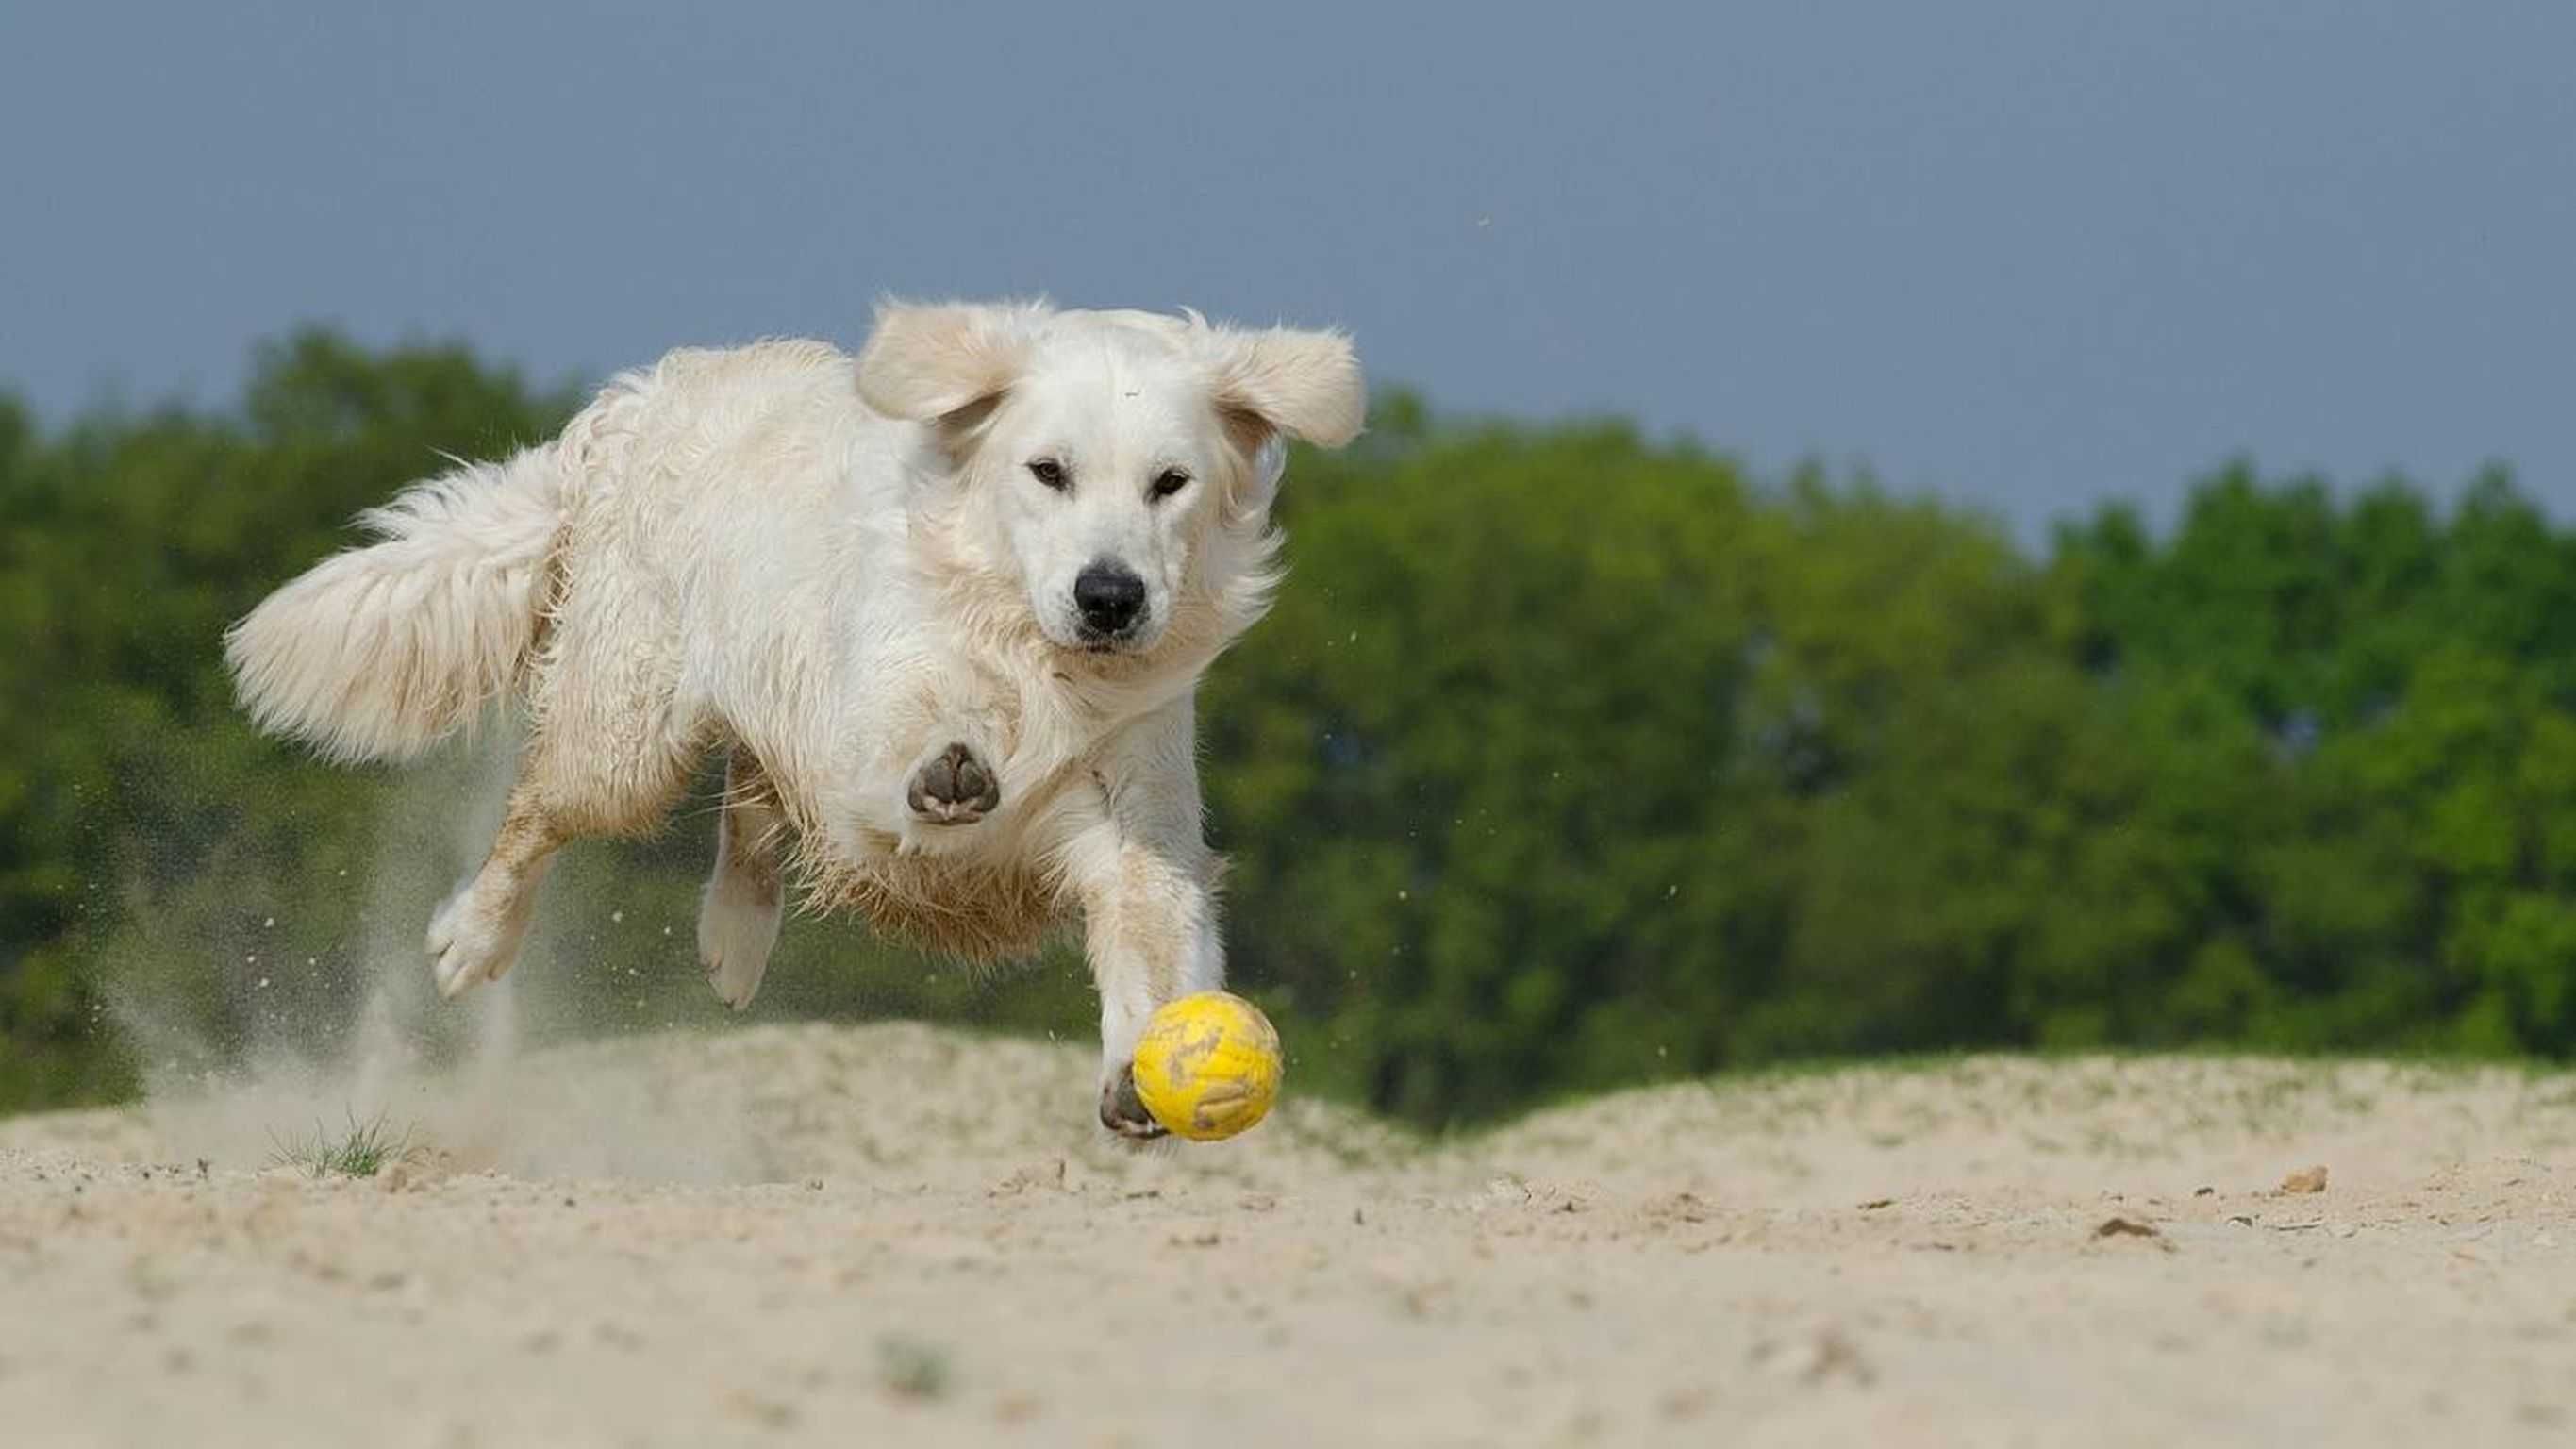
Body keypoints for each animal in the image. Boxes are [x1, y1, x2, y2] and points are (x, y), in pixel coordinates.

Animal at [223, 301, 1364, 1136]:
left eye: (1171, 483)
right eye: (1049, 471)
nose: (1111, 597)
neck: (1029, 658)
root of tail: (639, 403)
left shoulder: (1138, 823)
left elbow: (1156, 942)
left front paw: (1144, 1070)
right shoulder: (861, 752)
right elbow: (906, 750)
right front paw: (951, 767)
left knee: (749, 794)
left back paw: (732, 940)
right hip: (630, 732)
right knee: (543, 810)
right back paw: (472, 941)